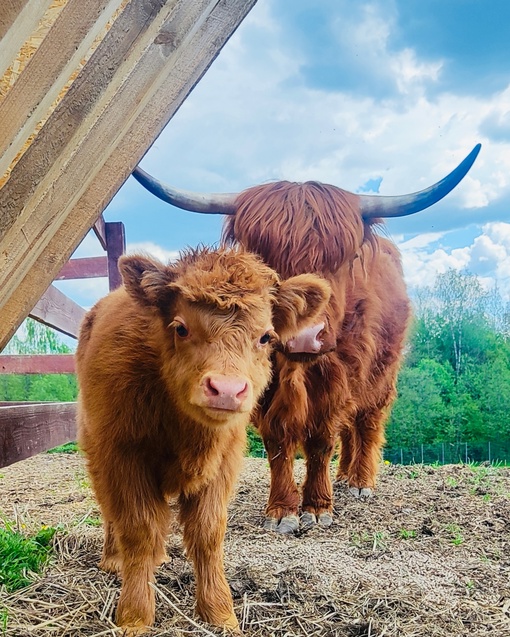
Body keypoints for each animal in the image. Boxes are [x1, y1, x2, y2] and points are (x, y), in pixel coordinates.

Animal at [76, 245, 330, 632]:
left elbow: (208, 534)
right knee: (111, 513)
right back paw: (112, 560)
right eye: (181, 328)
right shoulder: (123, 455)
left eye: (265, 337)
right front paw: (134, 616)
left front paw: (220, 613)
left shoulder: (223, 464)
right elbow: (137, 529)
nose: (226, 389)